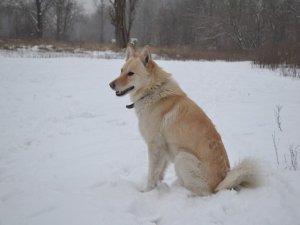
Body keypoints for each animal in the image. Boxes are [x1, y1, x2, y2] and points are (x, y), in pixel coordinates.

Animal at [108, 44, 260, 196]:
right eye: (121, 70)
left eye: (130, 73)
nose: (110, 84)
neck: (152, 90)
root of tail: (221, 184)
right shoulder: (163, 149)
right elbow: (159, 173)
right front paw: (157, 187)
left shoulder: (155, 146)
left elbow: (152, 173)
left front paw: (147, 192)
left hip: (182, 157)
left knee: (204, 193)